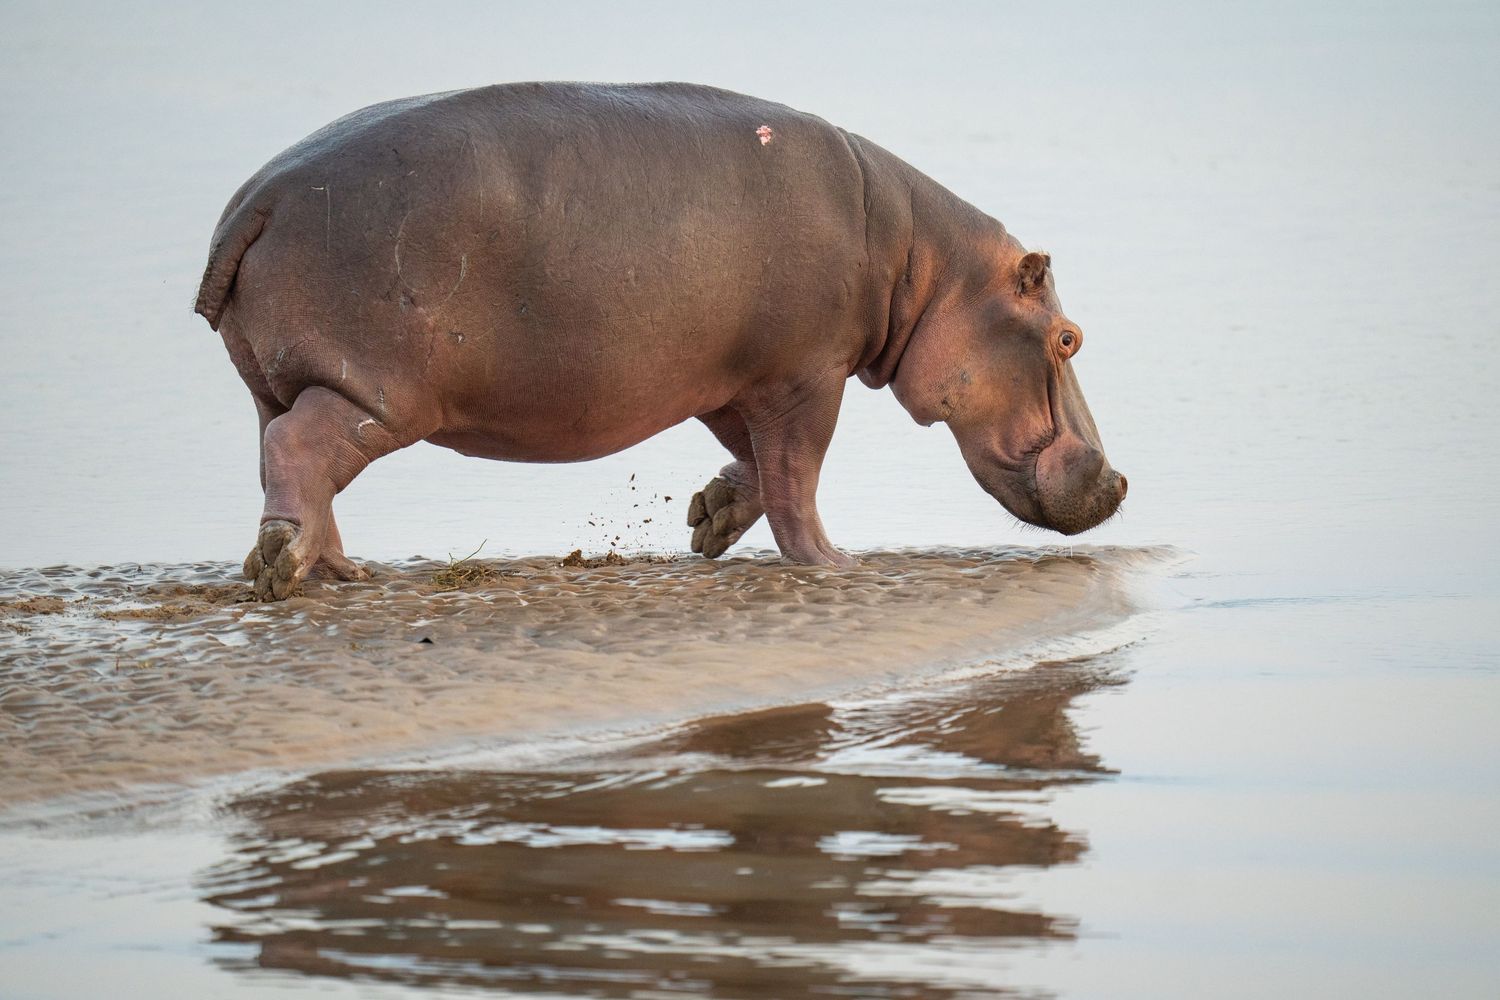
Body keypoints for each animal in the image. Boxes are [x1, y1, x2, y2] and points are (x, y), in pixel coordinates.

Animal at [195, 82, 1125, 600]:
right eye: (1069, 337)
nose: (1120, 481)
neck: (925, 265)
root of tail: (258, 199)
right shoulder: (806, 374)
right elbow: (798, 473)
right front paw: (833, 565)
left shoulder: (734, 377)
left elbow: (755, 460)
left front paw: (708, 521)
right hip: (379, 391)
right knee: (301, 449)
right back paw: (286, 568)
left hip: (276, 380)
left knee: (288, 453)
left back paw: (336, 572)